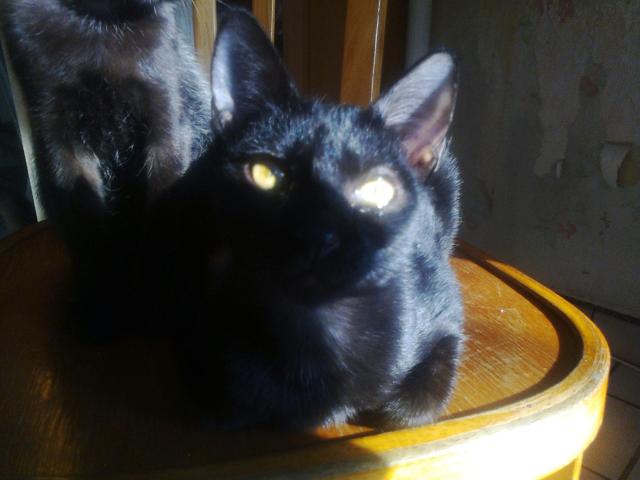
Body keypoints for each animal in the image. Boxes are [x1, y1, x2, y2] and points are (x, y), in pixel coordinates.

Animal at [1, 0, 211, 329]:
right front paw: (98, 301)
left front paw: (157, 297)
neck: (99, 27)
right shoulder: (60, 139)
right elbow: (85, 222)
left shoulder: (167, 124)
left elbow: (161, 215)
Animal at [153, 8, 465, 430]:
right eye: (265, 175)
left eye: (376, 190)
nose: (320, 234)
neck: (318, 331)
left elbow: (408, 410)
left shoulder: (446, 317)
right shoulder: (196, 336)